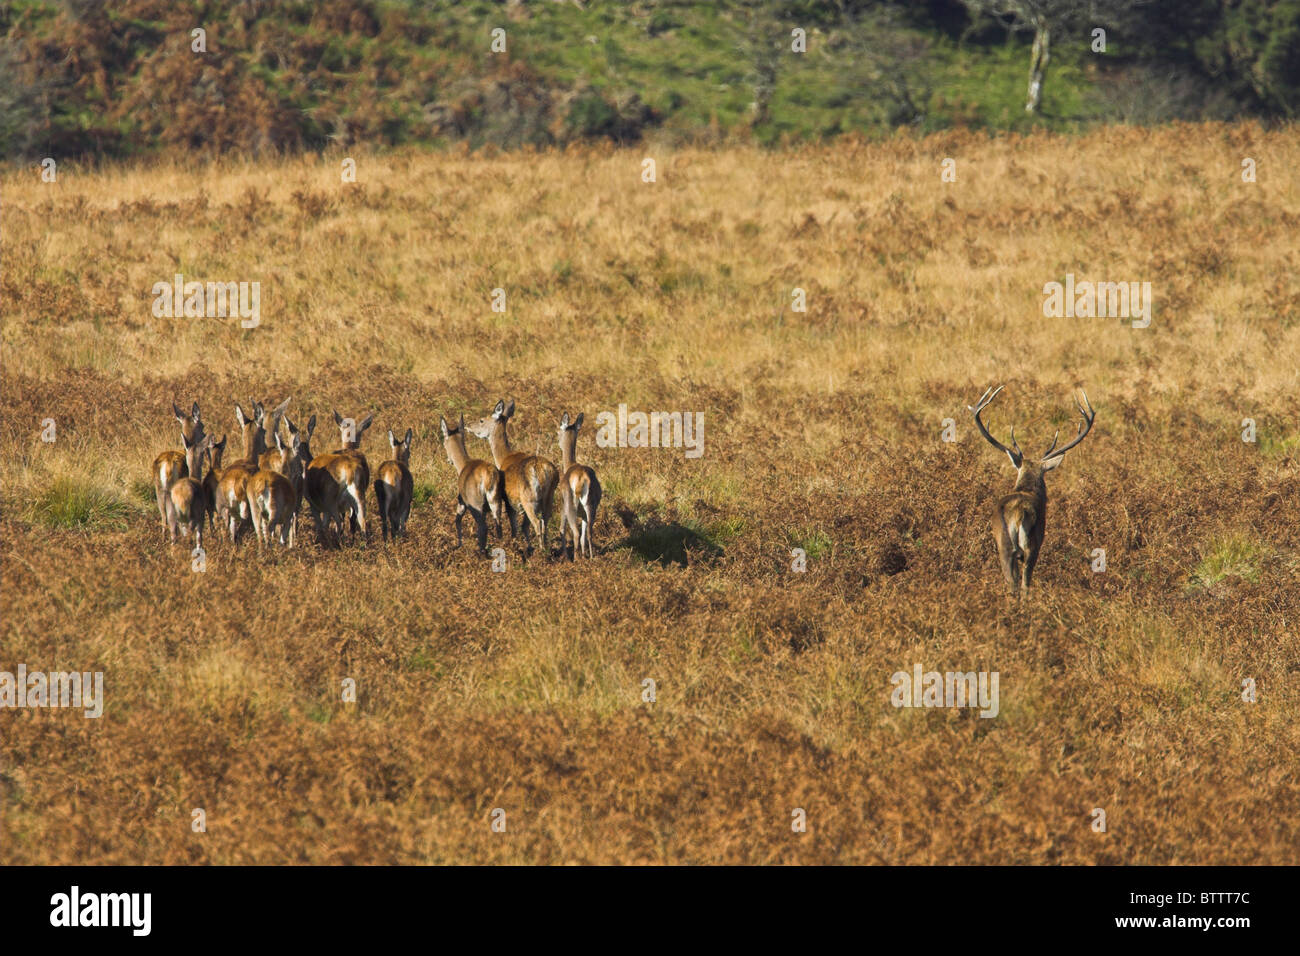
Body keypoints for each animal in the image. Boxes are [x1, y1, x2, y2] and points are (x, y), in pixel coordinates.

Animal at [436, 416, 496, 556]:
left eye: (444, 442)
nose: (448, 460)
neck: (464, 465)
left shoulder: (463, 501)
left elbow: (457, 520)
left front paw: (458, 545)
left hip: (476, 505)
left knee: (483, 527)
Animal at [467, 398, 559, 561]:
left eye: (482, 420)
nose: (468, 425)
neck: (504, 458)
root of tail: (544, 471)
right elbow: (524, 527)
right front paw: (528, 548)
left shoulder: (508, 498)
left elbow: (514, 526)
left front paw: (516, 546)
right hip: (549, 497)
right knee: (545, 521)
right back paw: (547, 550)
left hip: (528, 497)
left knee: (537, 523)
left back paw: (542, 553)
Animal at [556, 413, 600, 561]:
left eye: (558, 432)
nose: (557, 441)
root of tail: (582, 478)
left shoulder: (562, 504)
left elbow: (562, 529)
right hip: (591, 505)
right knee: (588, 533)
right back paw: (590, 558)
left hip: (570, 504)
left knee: (575, 532)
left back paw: (574, 560)